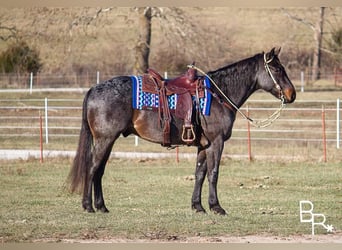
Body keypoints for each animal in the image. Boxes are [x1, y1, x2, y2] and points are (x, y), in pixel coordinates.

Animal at [67, 47, 296, 215]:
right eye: (277, 69)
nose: (291, 94)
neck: (218, 94)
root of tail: (93, 89)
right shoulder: (217, 142)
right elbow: (213, 173)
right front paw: (216, 207)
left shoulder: (204, 145)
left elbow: (199, 174)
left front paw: (198, 206)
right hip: (105, 139)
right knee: (92, 168)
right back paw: (88, 206)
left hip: (108, 141)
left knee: (99, 171)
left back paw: (102, 206)